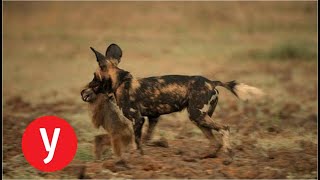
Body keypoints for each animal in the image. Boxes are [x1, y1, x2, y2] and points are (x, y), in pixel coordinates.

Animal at [81, 44, 264, 160]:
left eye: (94, 78)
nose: (83, 92)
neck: (121, 82)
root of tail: (212, 82)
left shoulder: (138, 119)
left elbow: (137, 142)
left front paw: (136, 158)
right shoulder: (153, 118)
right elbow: (146, 140)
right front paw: (153, 150)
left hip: (198, 115)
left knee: (225, 128)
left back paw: (228, 155)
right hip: (199, 118)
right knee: (215, 141)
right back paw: (206, 156)